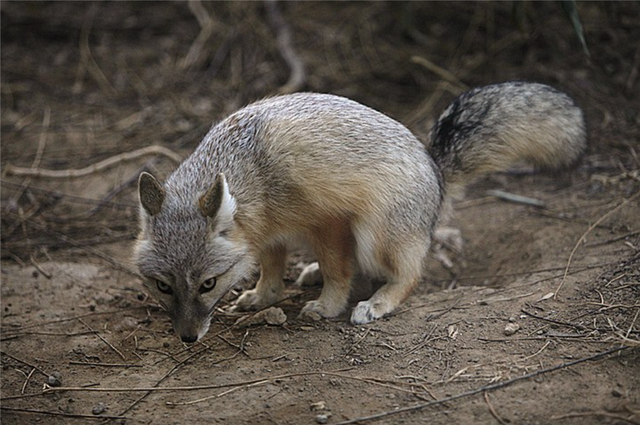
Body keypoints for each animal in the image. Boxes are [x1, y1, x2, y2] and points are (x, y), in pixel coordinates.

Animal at [134, 82, 584, 342]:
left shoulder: (329, 222)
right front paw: (264, 295)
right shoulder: (269, 234)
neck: (255, 175)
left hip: (374, 234)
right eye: (163, 286)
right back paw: (312, 273)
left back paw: (378, 300)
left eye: (208, 284)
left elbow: (339, 271)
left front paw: (329, 306)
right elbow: (271, 269)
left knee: (408, 274)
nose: (187, 338)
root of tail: (436, 171)